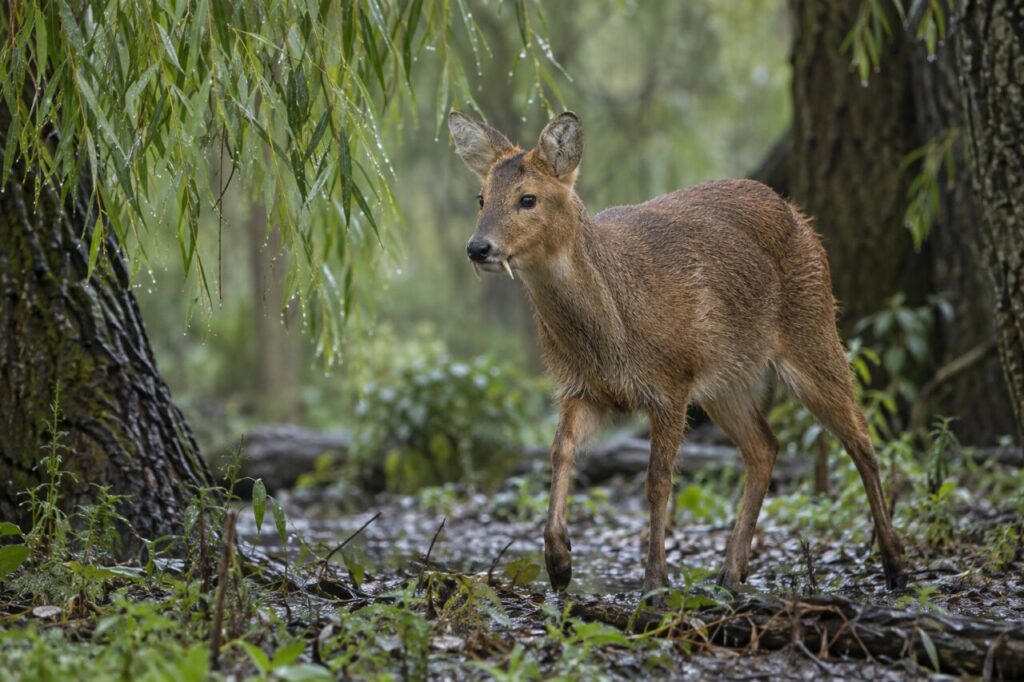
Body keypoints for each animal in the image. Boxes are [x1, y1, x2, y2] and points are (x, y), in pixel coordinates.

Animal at [447, 110, 906, 595]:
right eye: (481, 197)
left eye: (528, 198)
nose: (478, 247)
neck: (610, 332)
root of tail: (798, 215)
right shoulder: (581, 388)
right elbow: (559, 452)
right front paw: (559, 562)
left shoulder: (670, 382)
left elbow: (657, 481)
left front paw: (654, 581)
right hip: (726, 379)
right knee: (765, 446)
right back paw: (731, 571)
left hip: (813, 328)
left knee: (861, 436)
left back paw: (895, 565)